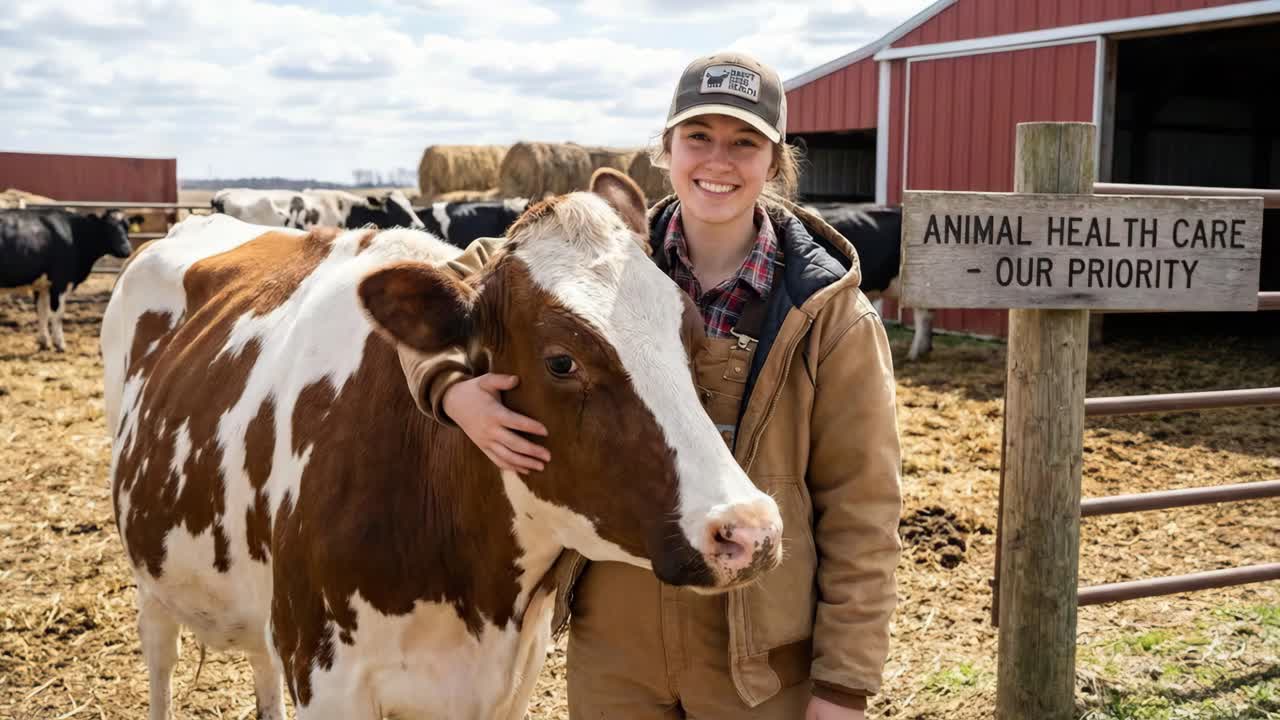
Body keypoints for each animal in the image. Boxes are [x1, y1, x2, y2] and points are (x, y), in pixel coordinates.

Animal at [1, 208, 132, 351]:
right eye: (108, 227)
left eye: (127, 227)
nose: (126, 250)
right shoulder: (60, 281)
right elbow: (57, 313)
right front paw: (59, 344)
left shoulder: (42, 284)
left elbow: (42, 311)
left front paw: (44, 342)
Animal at [103, 169, 783, 720]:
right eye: (561, 361)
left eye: (691, 331)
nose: (750, 530)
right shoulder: (326, 678)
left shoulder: (511, 679)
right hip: (150, 574)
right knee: (159, 659)